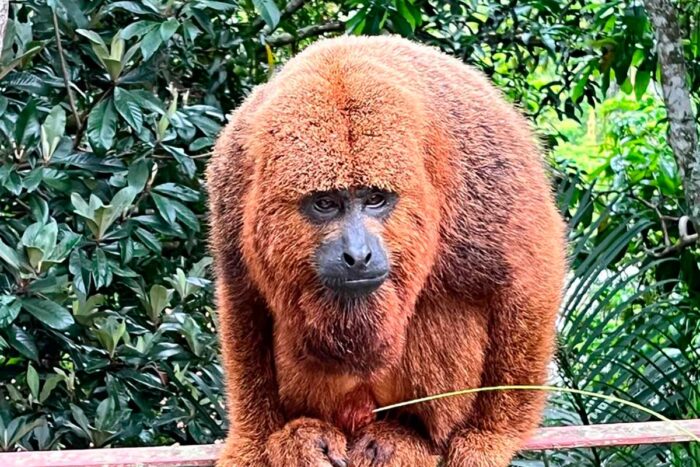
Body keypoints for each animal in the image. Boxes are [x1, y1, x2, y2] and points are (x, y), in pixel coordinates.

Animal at [206, 35, 567, 467]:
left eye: (376, 199)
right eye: (325, 203)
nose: (357, 255)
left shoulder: (485, 164)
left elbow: (527, 281)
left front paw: (489, 436)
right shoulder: (233, 179)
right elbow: (243, 296)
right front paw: (252, 442)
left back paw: (407, 436)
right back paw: (308, 433)